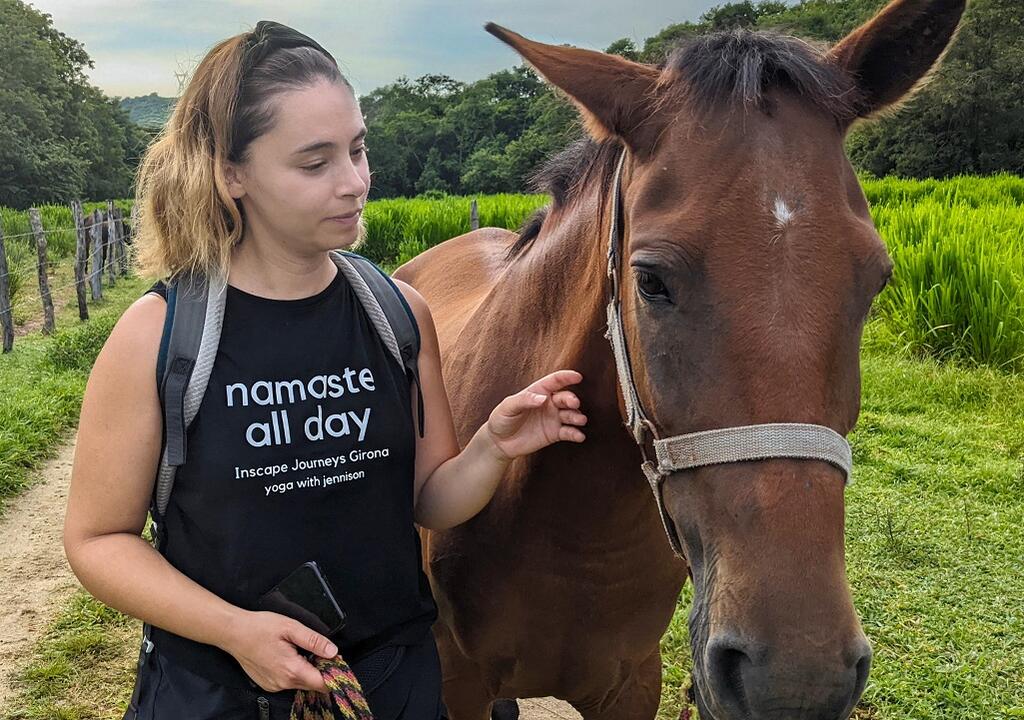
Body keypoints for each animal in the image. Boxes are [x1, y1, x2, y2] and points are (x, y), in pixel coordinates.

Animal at [393, 1, 966, 718]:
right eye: (650, 281)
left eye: (877, 280)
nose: (798, 680)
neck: (571, 532)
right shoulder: (454, 680)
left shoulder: (633, 683)